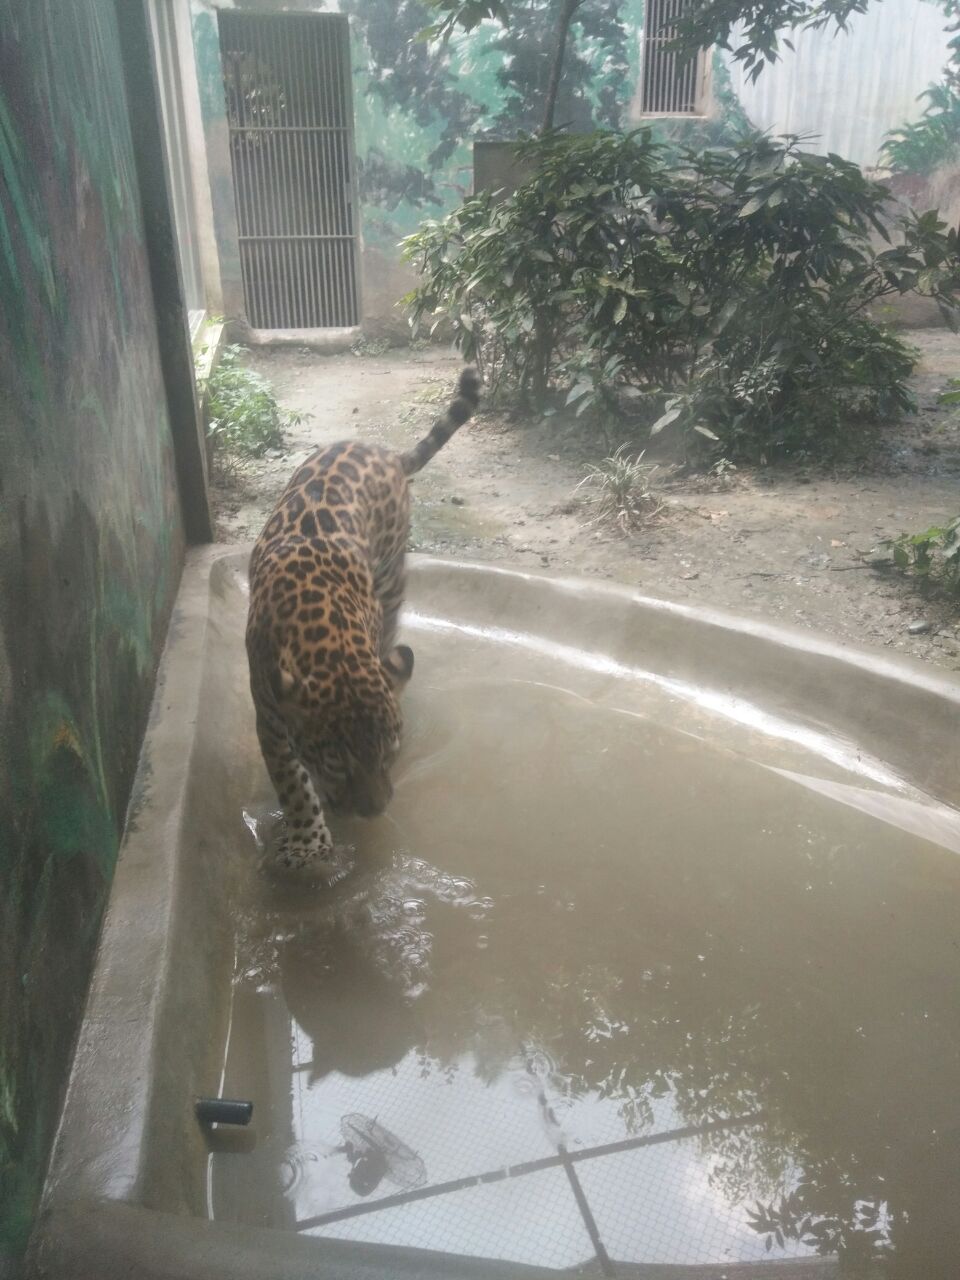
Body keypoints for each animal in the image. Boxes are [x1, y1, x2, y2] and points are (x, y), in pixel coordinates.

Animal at [245, 366, 481, 875]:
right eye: (337, 762)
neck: (326, 631)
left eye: (389, 754)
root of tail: (383, 452)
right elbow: (291, 781)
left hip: (392, 577)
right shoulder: (269, 713)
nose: (375, 811)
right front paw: (309, 843)